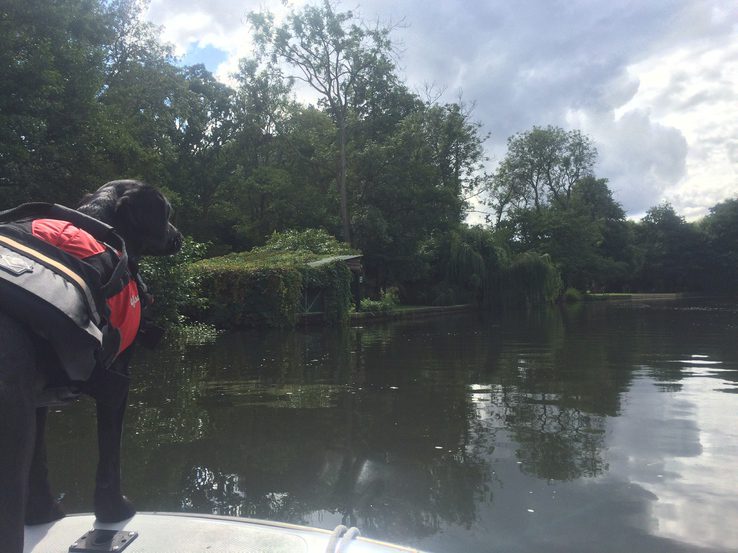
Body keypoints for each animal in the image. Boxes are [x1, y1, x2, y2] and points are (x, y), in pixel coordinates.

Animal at [0, 180, 182, 552]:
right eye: (168, 211)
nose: (180, 235)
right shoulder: (116, 382)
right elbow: (110, 457)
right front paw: (115, 510)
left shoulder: (40, 401)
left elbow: (40, 465)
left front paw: (43, 515)